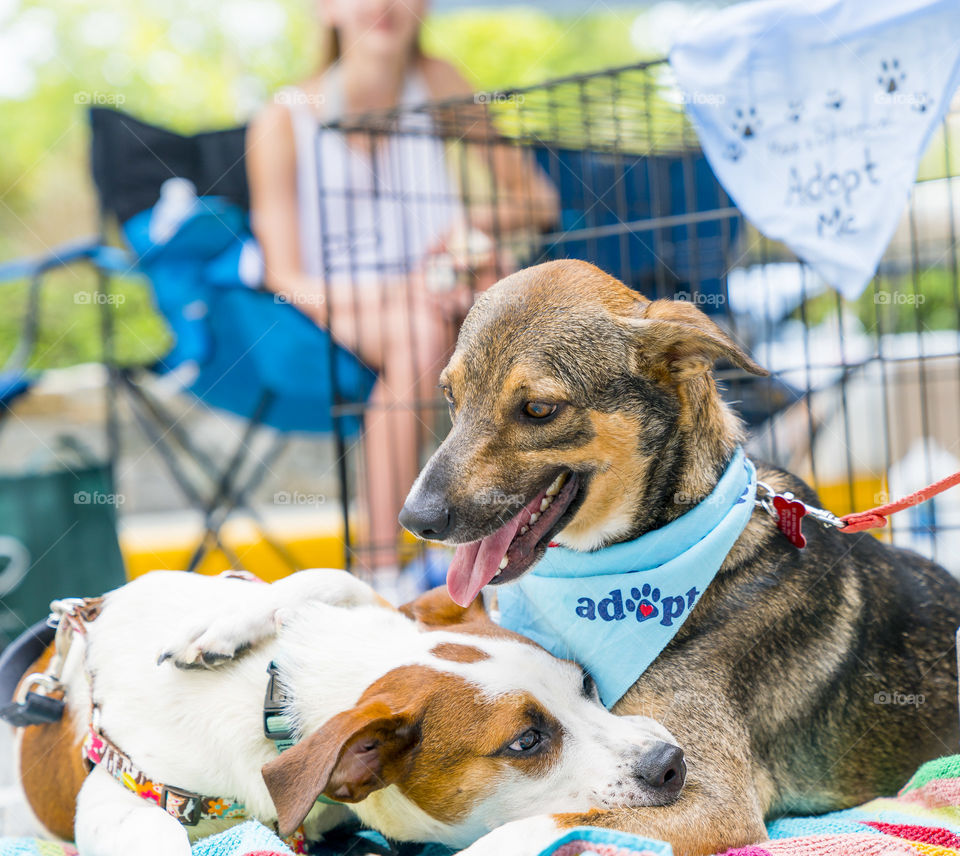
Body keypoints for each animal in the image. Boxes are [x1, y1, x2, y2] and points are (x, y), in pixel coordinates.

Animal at [11, 568, 688, 856]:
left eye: (587, 684)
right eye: (525, 742)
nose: (671, 762)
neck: (276, 695)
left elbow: (333, 575)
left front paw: (227, 621)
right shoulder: (122, 789)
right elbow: (151, 832)